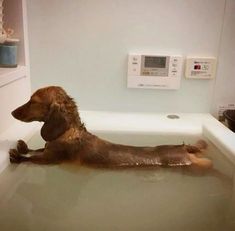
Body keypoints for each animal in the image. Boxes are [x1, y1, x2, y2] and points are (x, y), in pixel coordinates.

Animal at [9, 85, 212, 169]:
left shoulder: (51, 159)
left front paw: (18, 156)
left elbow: (32, 158)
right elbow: (36, 149)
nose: (11, 112)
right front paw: (24, 147)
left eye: (32, 101)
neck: (68, 133)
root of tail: (183, 147)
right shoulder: (47, 149)